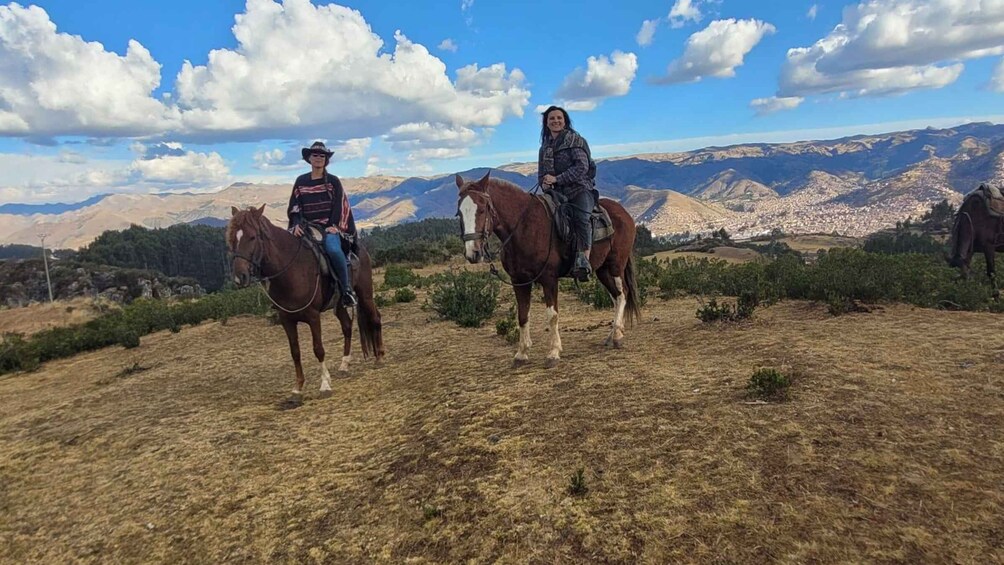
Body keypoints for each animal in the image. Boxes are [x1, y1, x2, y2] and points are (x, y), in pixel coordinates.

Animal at [457, 170, 638, 369]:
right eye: (459, 213)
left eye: (482, 209)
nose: (473, 253)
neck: (524, 227)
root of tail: (624, 213)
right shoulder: (519, 281)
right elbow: (522, 315)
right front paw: (521, 354)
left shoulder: (549, 279)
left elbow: (552, 315)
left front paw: (553, 353)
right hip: (602, 270)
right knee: (615, 297)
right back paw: (612, 334)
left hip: (616, 265)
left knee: (622, 294)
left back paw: (617, 336)